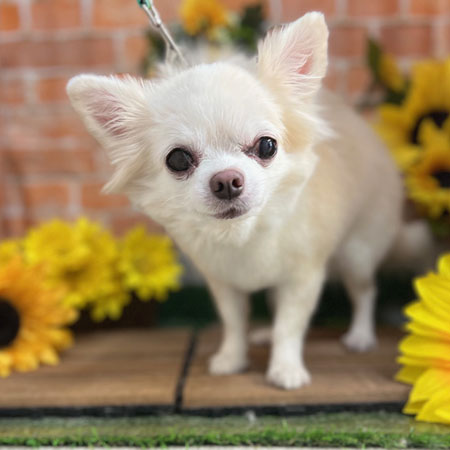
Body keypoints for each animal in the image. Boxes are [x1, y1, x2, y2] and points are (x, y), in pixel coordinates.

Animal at [67, 12, 431, 389]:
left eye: (267, 146)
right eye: (178, 159)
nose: (226, 180)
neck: (243, 234)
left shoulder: (303, 278)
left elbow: (291, 326)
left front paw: (285, 369)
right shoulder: (224, 283)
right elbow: (236, 322)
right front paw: (233, 358)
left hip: (357, 253)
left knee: (364, 292)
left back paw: (360, 335)